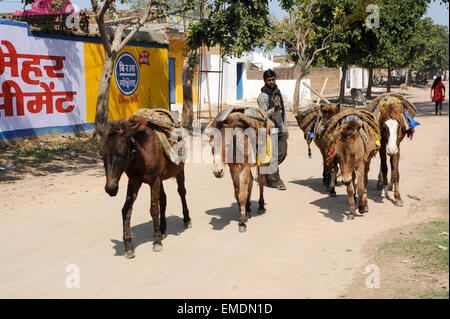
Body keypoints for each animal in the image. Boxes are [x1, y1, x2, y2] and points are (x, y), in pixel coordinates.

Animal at [97, 119, 191, 258]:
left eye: (121, 154)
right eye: (102, 155)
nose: (110, 189)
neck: (140, 154)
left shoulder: (154, 180)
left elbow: (154, 210)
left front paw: (157, 241)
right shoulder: (134, 181)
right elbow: (126, 210)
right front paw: (128, 246)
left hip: (179, 170)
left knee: (182, 192)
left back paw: (186, 219)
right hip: (161, 179)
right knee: (163, 199)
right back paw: (162, 227)